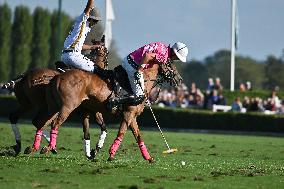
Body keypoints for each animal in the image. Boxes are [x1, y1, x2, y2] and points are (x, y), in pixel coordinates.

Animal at [38, 59, 182, 162]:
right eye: (170, 63)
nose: (179, 79)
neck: (141, 83)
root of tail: (57, 77)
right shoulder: (128, 114)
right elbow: (121, 133)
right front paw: (111, 154)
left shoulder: (133, 116)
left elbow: (138, 136)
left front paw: (149, 158)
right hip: (67, 107)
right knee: (55, 124)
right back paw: (48, 147)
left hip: (54, 107)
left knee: (42, 122)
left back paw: (36, 147)